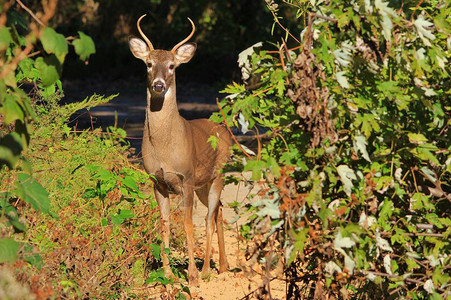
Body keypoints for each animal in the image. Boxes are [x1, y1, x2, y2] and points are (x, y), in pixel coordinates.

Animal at [128, 15, 231, 284]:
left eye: (173, 66)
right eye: (149, 64)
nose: (159, 85)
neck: (165, 149)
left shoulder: (186, 177)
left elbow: (187, 223)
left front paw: (192, 275)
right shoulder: (158, 182)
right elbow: (164, 225)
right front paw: (167, 275)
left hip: (218, 175)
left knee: (208, 217)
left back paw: (206, 271)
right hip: (204, 184)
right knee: (219, 210)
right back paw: (223, 266)